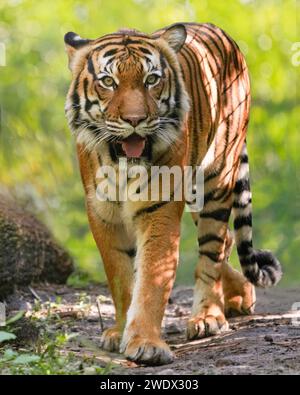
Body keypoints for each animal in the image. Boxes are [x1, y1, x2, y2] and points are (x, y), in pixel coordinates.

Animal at [63, 23, 282, 366]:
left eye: (151, 79)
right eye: (108, 82)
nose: (135, 120)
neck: (122, 166)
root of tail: (222, 34)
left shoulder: (159, 209)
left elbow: (152, 279)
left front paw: (146, 344)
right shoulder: (103, 215)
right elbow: (121, 279)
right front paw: (119, 331)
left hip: (215, 182)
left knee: (213, 252)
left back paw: (209, 317)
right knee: (228, 242)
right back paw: (240, 297)